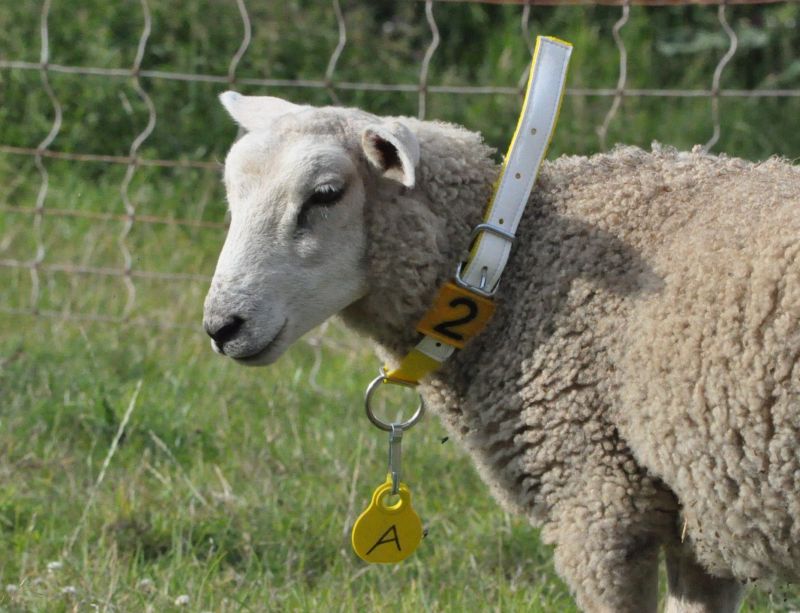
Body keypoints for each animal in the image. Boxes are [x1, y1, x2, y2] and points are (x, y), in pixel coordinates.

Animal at [202, 92, 800, 612]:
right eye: (232, 191)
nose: (221, 327)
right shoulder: (701, 504)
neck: (508, 261)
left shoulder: (598, 497)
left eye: (326, 194)